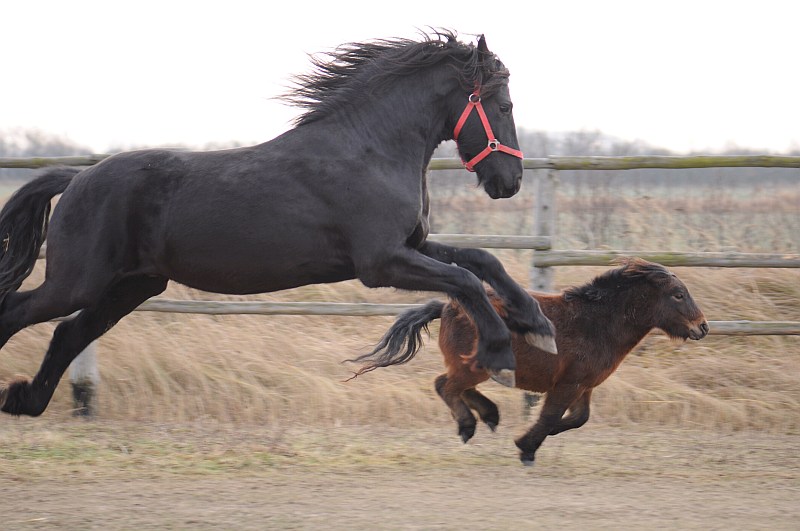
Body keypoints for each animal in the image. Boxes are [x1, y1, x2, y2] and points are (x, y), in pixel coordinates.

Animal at [0, 31, 552, 418]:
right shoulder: (381, 263)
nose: (510, 180)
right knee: (21, 312)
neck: (370, 150)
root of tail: (77, 177)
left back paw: (24, 400)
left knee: (69, 333)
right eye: (504, 105)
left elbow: (481, 260)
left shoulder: (409, 246)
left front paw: (538, 325)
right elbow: (465, 280)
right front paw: (501, 355)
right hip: (79, 281)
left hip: (131, 285)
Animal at [354, 258, 708, 466]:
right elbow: (551, 415)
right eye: (678, 294)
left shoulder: (584, 386)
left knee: (457, 387)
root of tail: (447, 306)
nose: (702, 327)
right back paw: (468, 426)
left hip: (477, 368)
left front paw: (532, 438)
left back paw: (490, 415)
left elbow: (578, 419)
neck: (595, 323)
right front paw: (526, 448)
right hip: (472, 367)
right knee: (445, 385)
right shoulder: (568, 384)